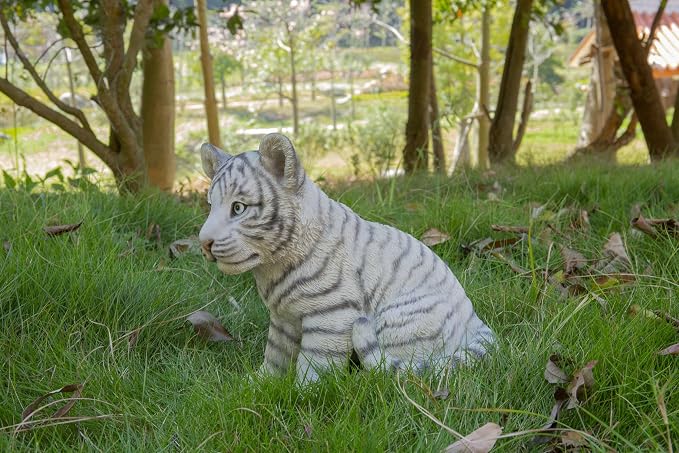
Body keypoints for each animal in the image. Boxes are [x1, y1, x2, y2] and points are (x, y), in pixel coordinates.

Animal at [198, 133, 495, 384]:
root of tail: (476, 323)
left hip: (400, 321)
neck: (273, 266)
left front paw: (304, 394)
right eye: (211, 206)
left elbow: (315, 364)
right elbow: (275, 356)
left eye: (238, 208)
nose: (204, 243)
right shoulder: (283, 318)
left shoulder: (331, 315)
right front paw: (258, 385)